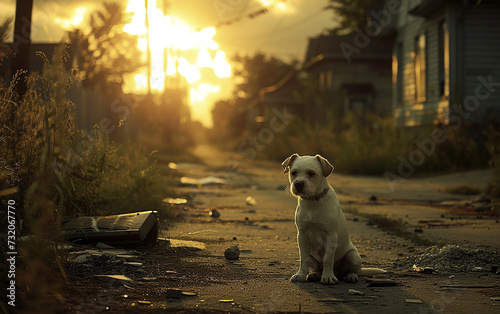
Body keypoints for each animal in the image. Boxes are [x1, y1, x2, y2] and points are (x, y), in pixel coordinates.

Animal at [284, 153, 384, 284]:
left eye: (311, 173)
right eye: (293, 173)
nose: (298, 184)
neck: (313, 201)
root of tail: (338, 272)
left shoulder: (331, 235)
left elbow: (328, 258)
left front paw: (328, 277)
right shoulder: (302, 235)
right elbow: (303, 258)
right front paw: (300, 275)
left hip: (353, 255)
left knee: (354, 270)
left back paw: (351, 276)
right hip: (314, 259)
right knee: (316, 267)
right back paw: (314, 275)